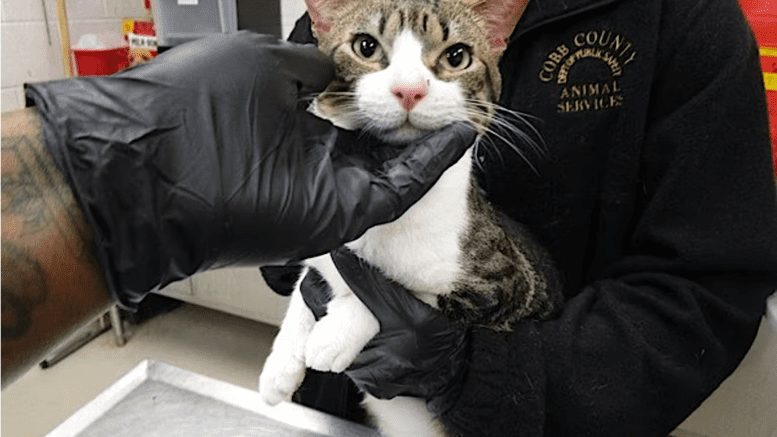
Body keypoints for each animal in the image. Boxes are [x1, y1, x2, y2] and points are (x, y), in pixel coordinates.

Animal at [260, 1, 556, 434]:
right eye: (366, 46)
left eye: (456, 56)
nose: (410, 90)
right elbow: (305, 283)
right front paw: (280, 365)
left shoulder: (506, 285)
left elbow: (410, 296)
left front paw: (335, 334)